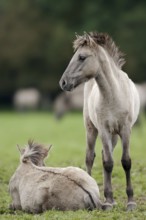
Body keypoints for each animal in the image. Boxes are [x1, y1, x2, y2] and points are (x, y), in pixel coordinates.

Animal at [59, 31, 140, 211]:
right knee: (90, 157)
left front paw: (130, 202)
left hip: (114, 136)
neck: (113, 95)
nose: (63, 82)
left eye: (81, 57)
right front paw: (108, 201)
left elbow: (126, 162)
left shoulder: (125, 130)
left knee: (103, 155)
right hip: (91, 129)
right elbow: (108, 163)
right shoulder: (103, 130)